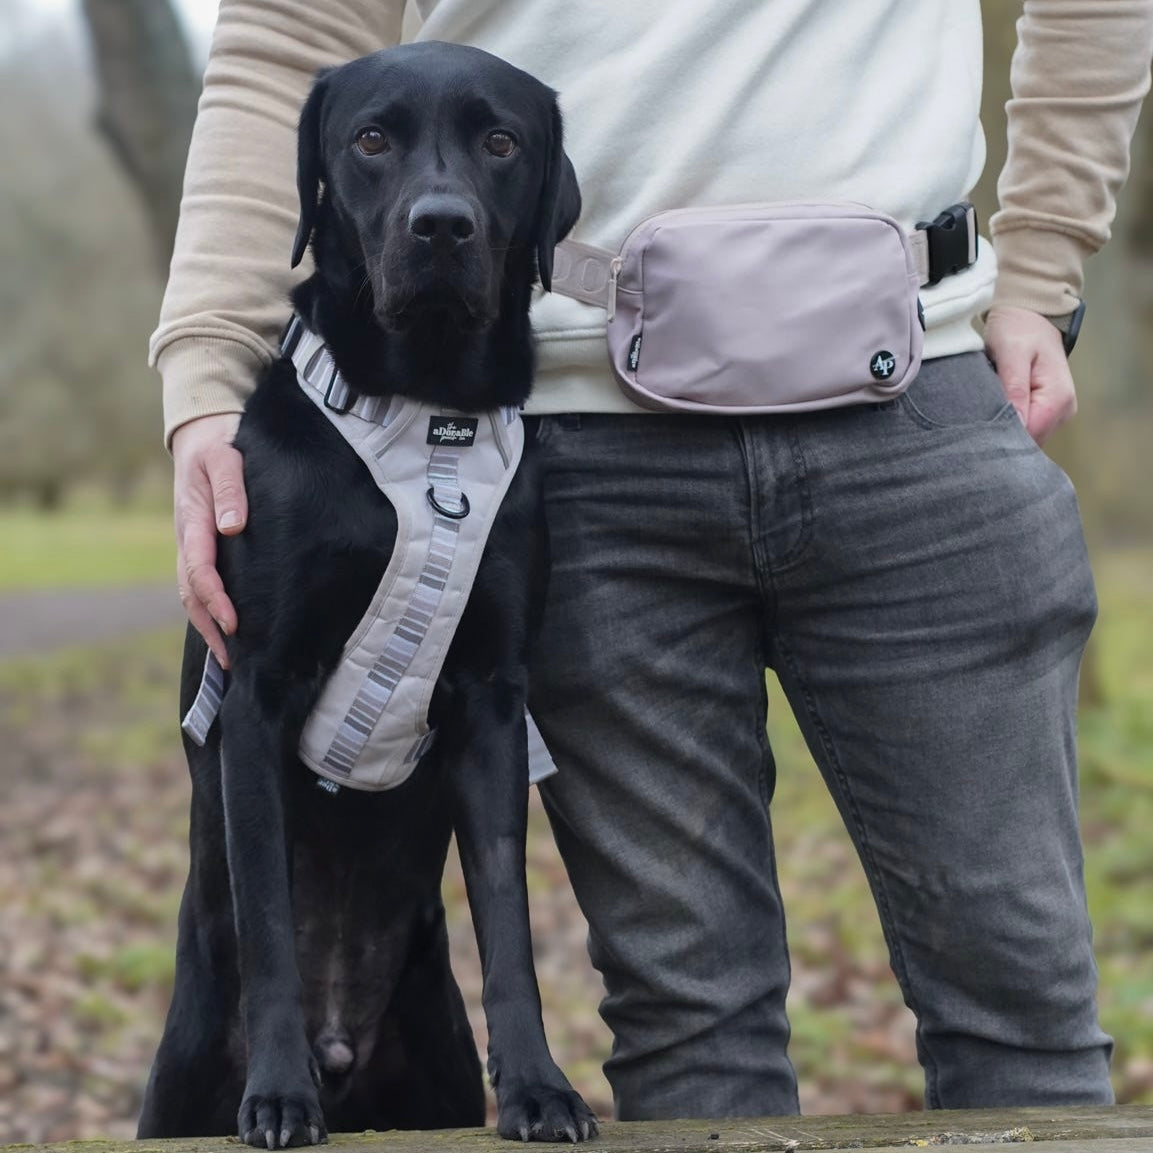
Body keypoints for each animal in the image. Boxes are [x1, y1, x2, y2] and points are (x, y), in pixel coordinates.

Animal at [137, 40, 594, 1148]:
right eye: (372, 139)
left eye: (500, 142)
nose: (441, 225)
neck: (427, 415)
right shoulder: (257, 691)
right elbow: (267, 916)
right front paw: (278, 1094)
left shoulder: (491, 699)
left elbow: (507, 913)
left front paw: (537, 1085)